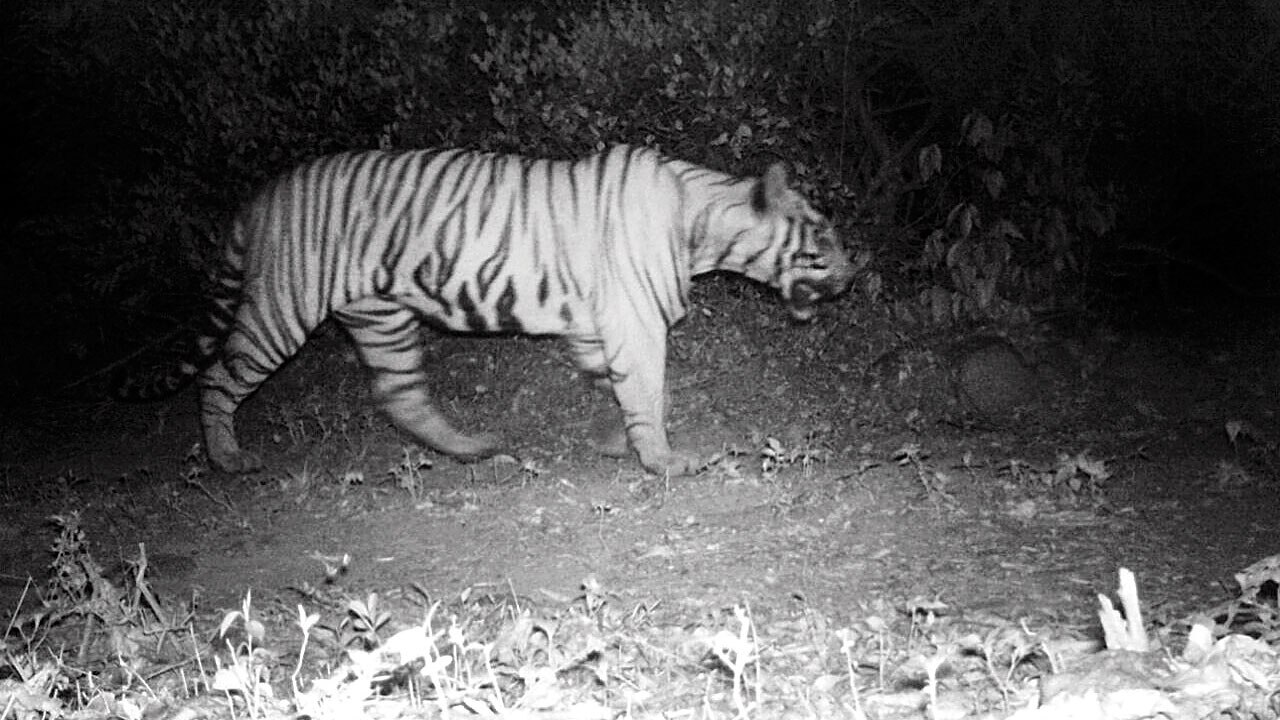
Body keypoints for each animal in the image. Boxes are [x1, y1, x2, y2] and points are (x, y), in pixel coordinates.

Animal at [115, 144, 853, 476]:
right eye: (822, 238)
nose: (857, 272)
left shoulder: (599, 326)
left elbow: (624, 389)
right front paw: (663, 460)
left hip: (381, 318)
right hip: (282, 311)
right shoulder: (636, 323)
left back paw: (472, 447)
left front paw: (617, 441)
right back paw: (227, 457)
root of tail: (259, 196)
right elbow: (649, 390)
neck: (704, 223)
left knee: (400, 395)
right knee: (218, 378)